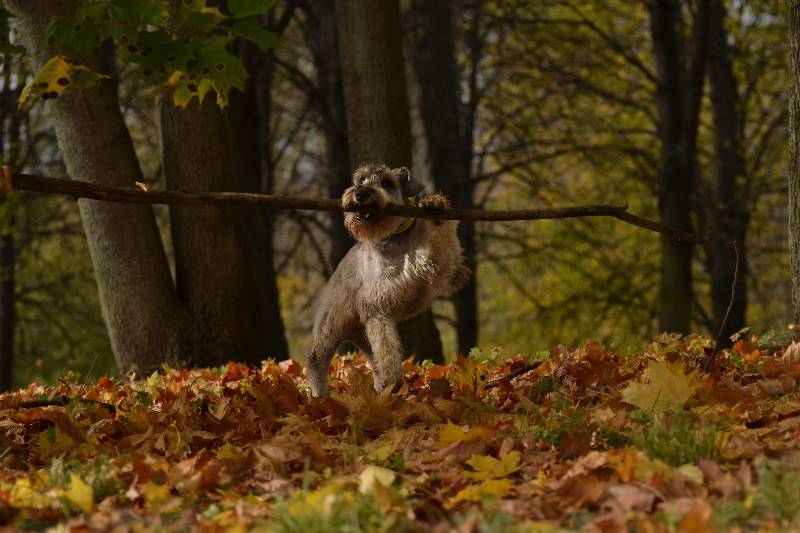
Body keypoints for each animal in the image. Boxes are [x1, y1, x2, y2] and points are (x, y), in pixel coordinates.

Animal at [304, 164, 468, 396]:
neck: (393, 236)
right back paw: (320, 395)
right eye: (361, 180)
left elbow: (446, 251)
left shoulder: (440, 266)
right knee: (316, 359)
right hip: (330, 327)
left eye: (387, 182)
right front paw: (394, 377)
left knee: (373, 360)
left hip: (361, 335)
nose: (360, 193)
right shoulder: (376, 306)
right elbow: (386, 348)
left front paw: (435, 205)